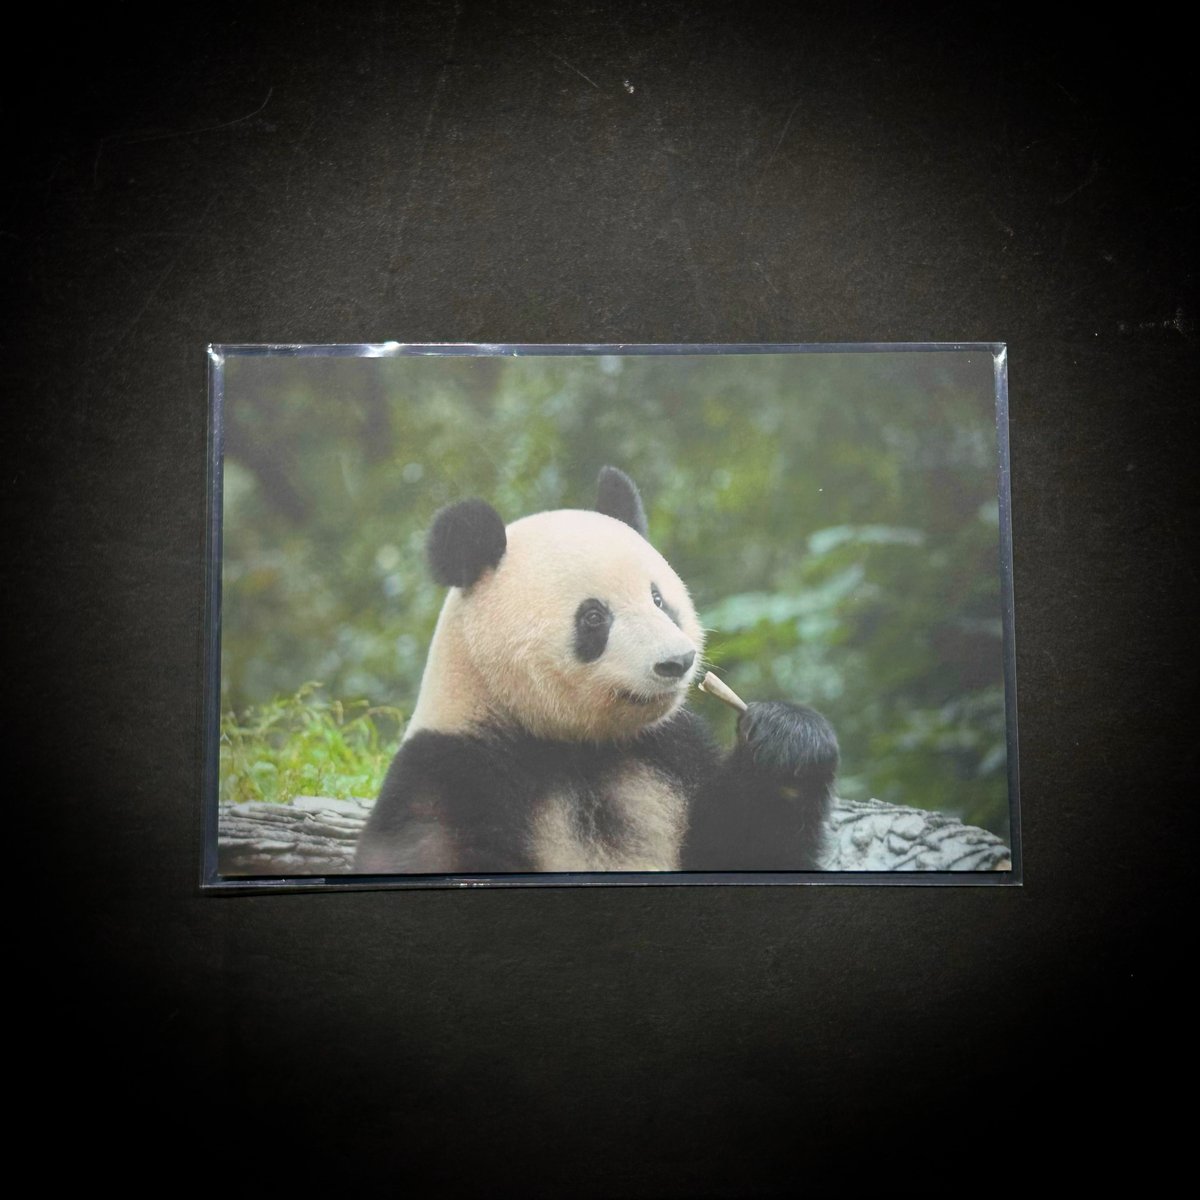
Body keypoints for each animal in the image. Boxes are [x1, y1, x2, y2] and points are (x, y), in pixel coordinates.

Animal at [354, 467, 839, 874]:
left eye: (658, 599)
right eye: (593, 618)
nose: (676, 662)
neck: (580, 747)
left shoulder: (668, 754)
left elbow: (744, 847)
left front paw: (788, 740)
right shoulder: (454, 772)